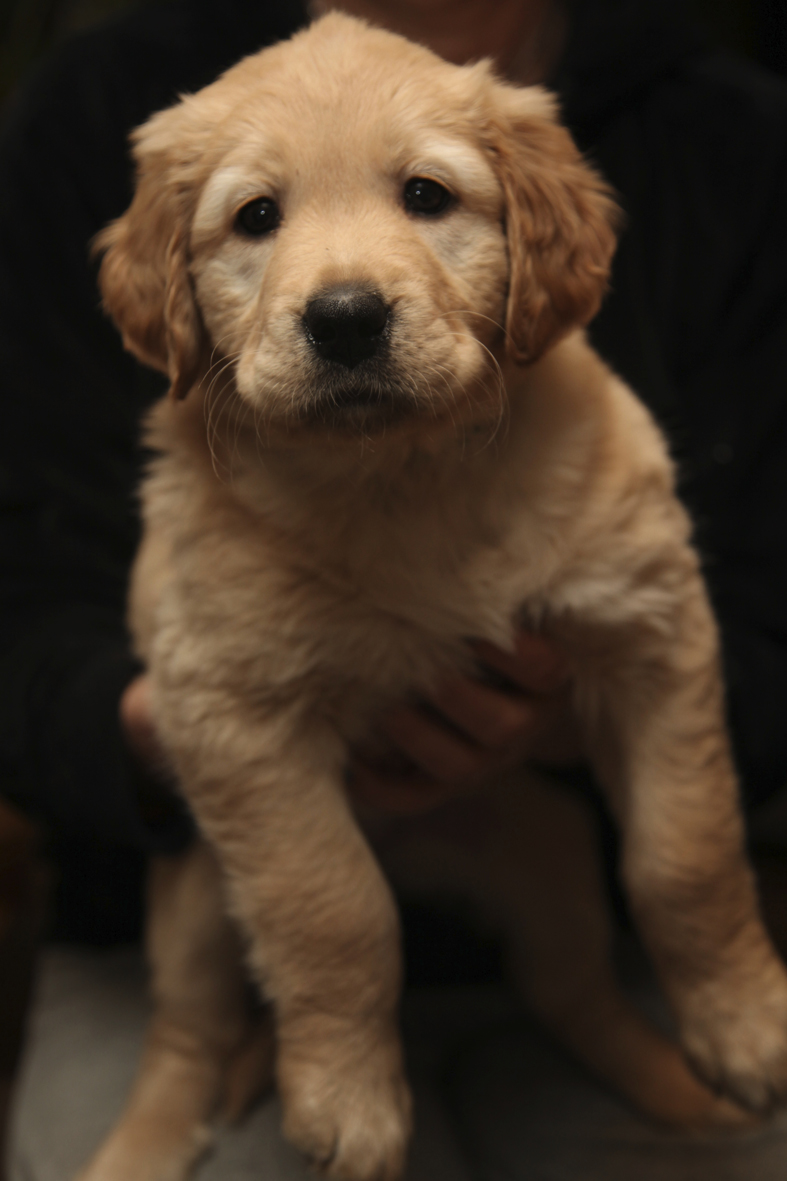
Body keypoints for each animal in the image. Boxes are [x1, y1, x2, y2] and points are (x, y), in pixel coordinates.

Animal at [79, 11, 784, 1181]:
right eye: (256, 217)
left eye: (426, 196)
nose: (345, 319)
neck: (402, 475)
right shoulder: (232, 715)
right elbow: (333, 911)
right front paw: (350, 1102)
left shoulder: (651, 629)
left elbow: (684, 854)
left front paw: (749, 1027)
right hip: (194, 904)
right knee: (189, 1037)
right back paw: (134, 1149)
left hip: (549, 856)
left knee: (574, 992)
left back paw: (683, 1094)